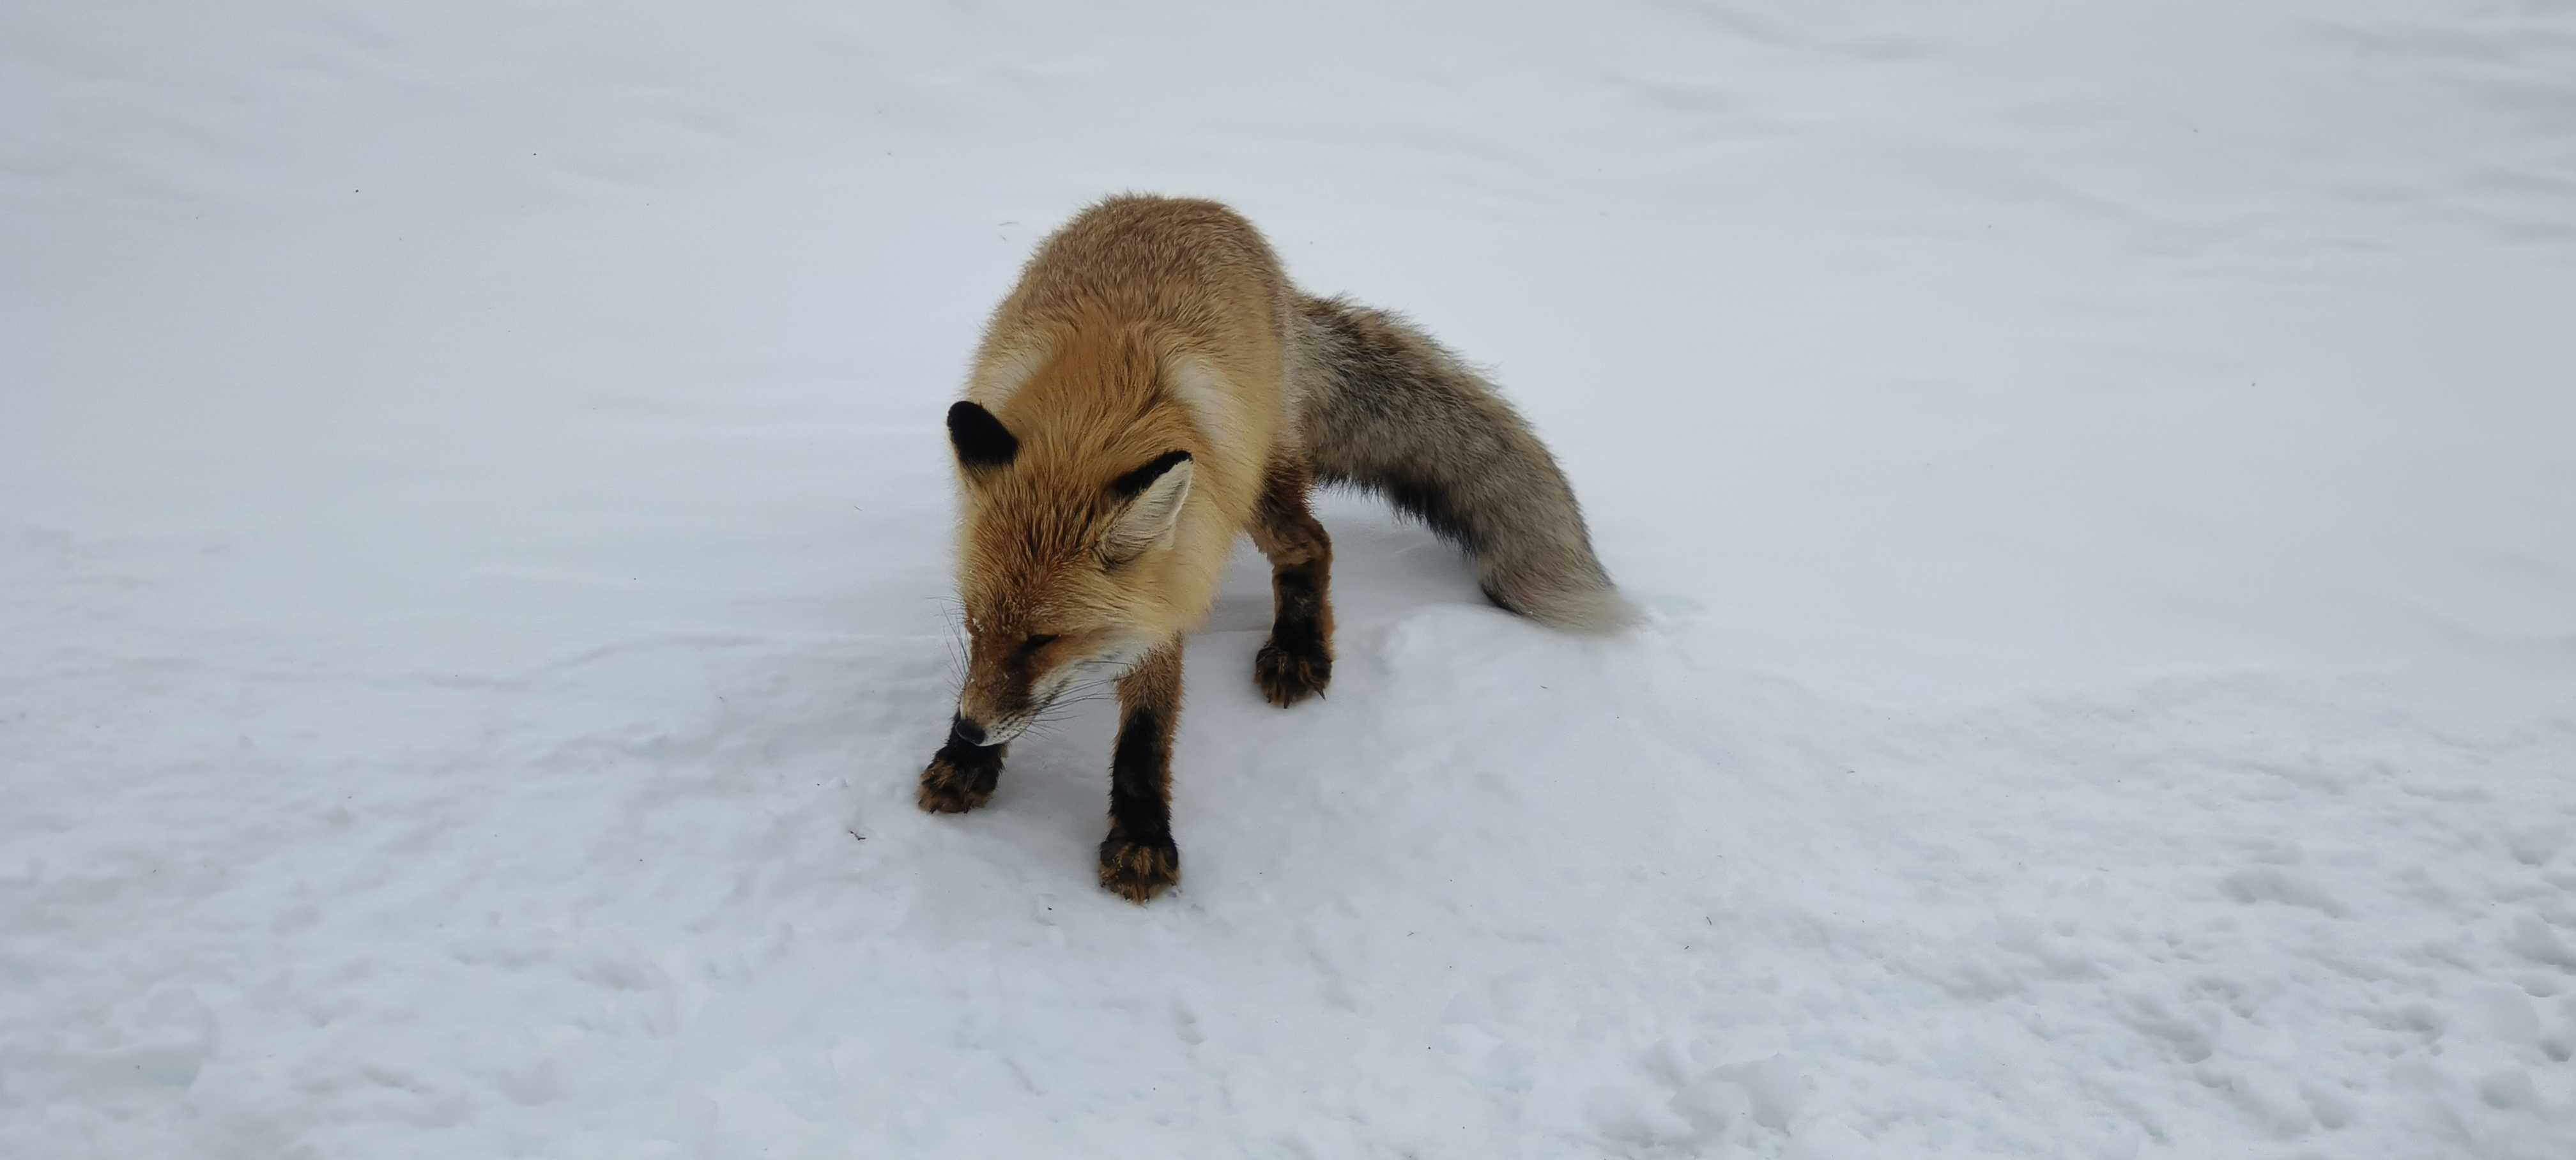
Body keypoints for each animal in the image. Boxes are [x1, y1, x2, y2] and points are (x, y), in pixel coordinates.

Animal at [917, 194, 1618, 907]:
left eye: (1045, 640)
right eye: (975, 624)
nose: (969, 730)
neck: (1089, 427)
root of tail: (1190, 204)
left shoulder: (1174, 580)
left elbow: (1146, 732)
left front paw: (1141, 836)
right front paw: (968, 761)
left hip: (1257, 491)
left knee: (1312, 546)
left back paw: (1298, 646)